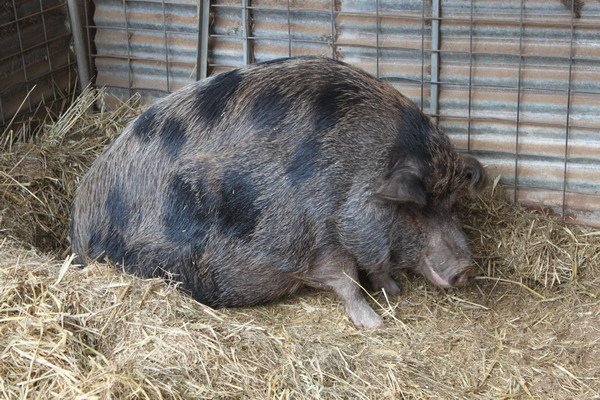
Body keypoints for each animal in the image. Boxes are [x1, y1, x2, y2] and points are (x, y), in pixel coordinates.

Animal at [70, 56, 486, 328]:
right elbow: (348, 280)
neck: (352, 175)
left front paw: (394, 291)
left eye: (450, 202)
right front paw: (376, 323)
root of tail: (77, 229)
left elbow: (375, 268)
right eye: (417, 208)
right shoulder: (316, 237)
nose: (467, 268)